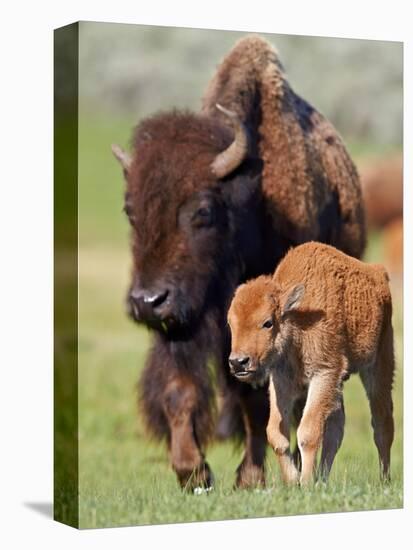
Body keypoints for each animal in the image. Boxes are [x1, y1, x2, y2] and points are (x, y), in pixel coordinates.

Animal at [112, 34, 364, 492]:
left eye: (203, 211)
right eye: (130, 210)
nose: (147, 301)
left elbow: (257, 400)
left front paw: (249, 478)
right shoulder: (184, 327)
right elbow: (180, 390)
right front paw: (193, 471)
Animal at [227, 244, 394, 486]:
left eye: (267, 322)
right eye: (230, 322)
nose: (238, 362)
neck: (297, 317)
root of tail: (379, 273)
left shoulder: (324, 373)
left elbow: (308, 432)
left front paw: (305, 482)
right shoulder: (281, 382)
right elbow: (276, 433)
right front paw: (292, 481)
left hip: (379, 364)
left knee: (382, 424)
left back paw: (384, 480)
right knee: (336, 429)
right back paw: (323, 479)